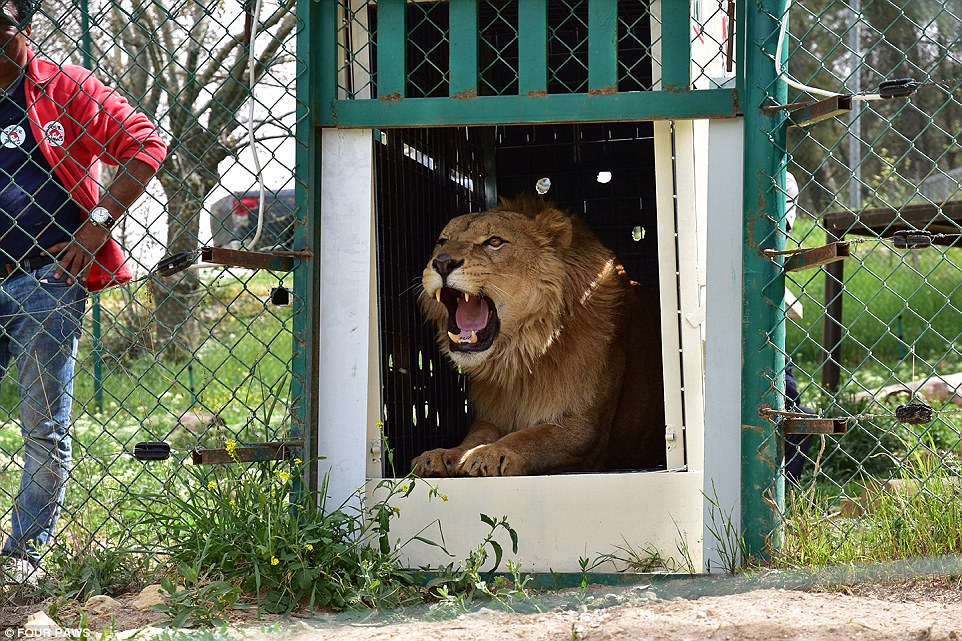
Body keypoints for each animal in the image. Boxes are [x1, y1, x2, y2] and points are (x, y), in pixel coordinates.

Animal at [408, 195, 664, 476]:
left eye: (494, 242)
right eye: (442, 242)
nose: (442, 262)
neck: (520, 358)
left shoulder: (585, 430)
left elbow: (530, 437)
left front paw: (492, 453)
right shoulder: (490, 417)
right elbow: (474, 438)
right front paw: (444, 455)